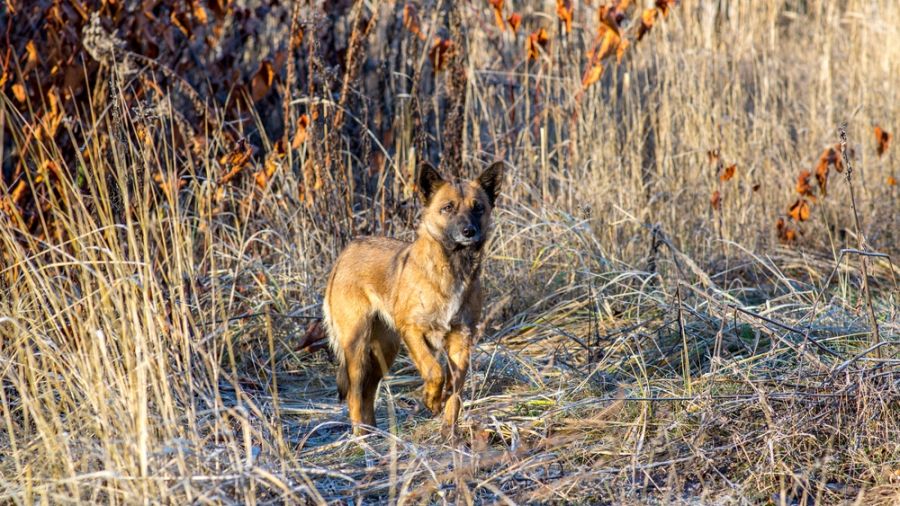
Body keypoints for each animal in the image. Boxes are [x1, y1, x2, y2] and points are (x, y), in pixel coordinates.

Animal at [324, 161, 506, 434]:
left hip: (385, 349)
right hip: (357, 345)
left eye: (478, 207)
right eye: (448, 207)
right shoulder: (413, 331)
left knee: (368, 391)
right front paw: (431, 399)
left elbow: (456, 389)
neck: (452, 267)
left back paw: (375, 432)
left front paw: (449, 433)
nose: (469, 231)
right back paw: (360, 438)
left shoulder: (462, 339)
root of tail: (346, 252)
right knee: (355, 394)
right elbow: (434, 370)